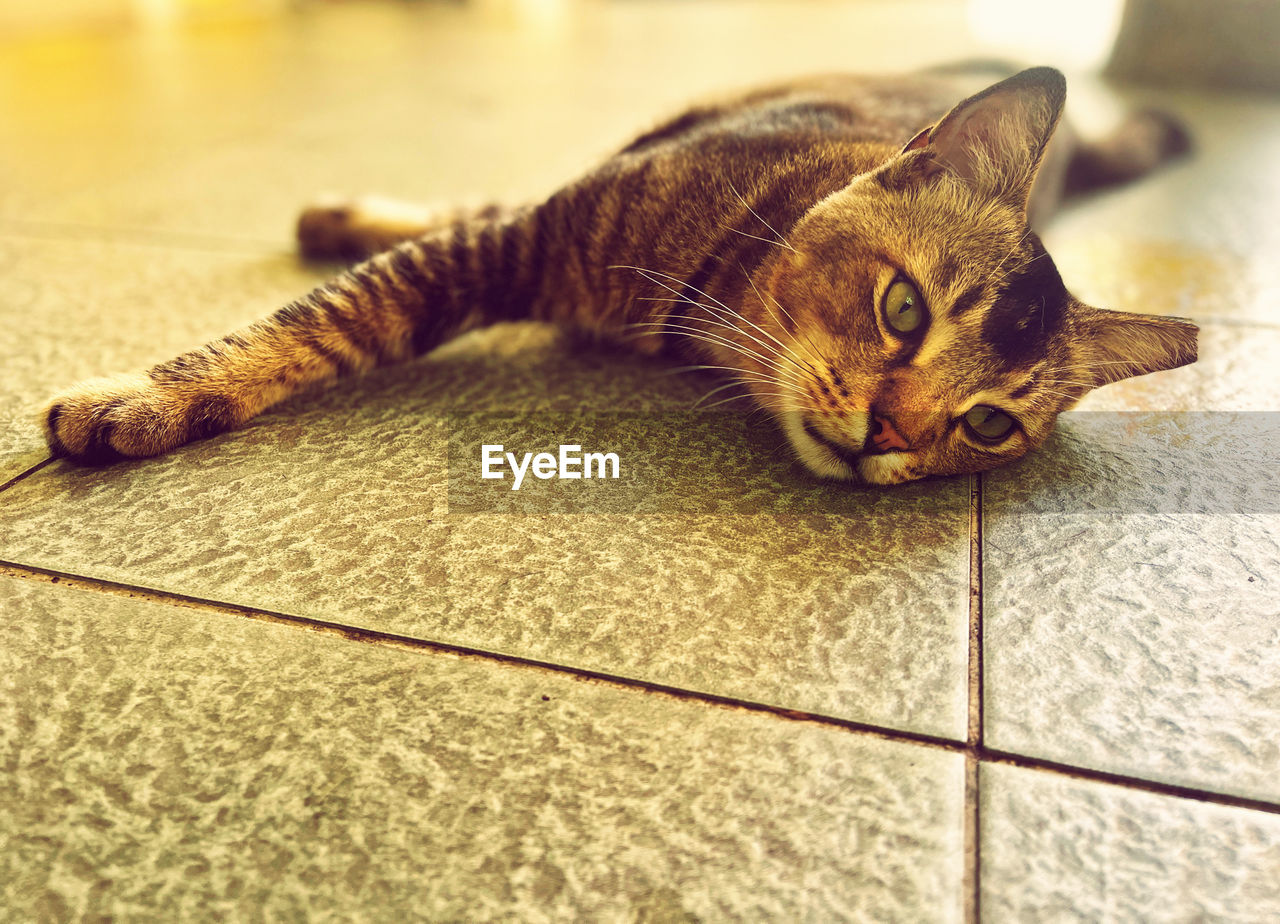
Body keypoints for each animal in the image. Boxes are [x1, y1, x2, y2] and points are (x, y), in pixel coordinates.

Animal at [42, 63, 1198, 481]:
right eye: (903, 308)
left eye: (987, 425)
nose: (890, 436)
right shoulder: (517, 247)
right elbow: (325, 323)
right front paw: (144, 398)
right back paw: (341, 215)